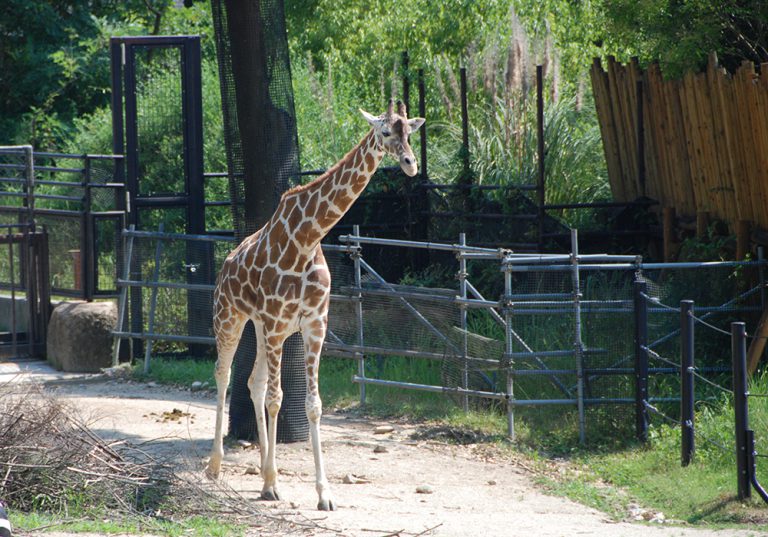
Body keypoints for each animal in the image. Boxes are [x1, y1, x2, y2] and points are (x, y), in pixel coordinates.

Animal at [207, 98, 424, 508]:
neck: (308, 237)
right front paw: (273, 483)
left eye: (410, 132)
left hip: (261, 328)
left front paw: (322, 493)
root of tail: (226, 263)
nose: (410, 164)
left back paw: (263, 469)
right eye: (385, 131)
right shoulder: (279, 323)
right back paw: (215, 466)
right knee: (224, 375)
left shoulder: (312, 325)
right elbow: (278, 399)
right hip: (230, 317)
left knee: (253, 382)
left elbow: (312, 404)